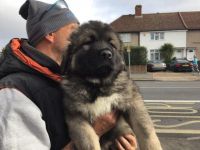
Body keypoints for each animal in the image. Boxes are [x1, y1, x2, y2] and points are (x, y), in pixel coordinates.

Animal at [61, 20, 162, 150]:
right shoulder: (77, 117)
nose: (106, 54)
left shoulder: (133, 103)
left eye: (112, 45)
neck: (99, 86)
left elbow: (145, 130)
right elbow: (89, 142)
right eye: (88, 42)